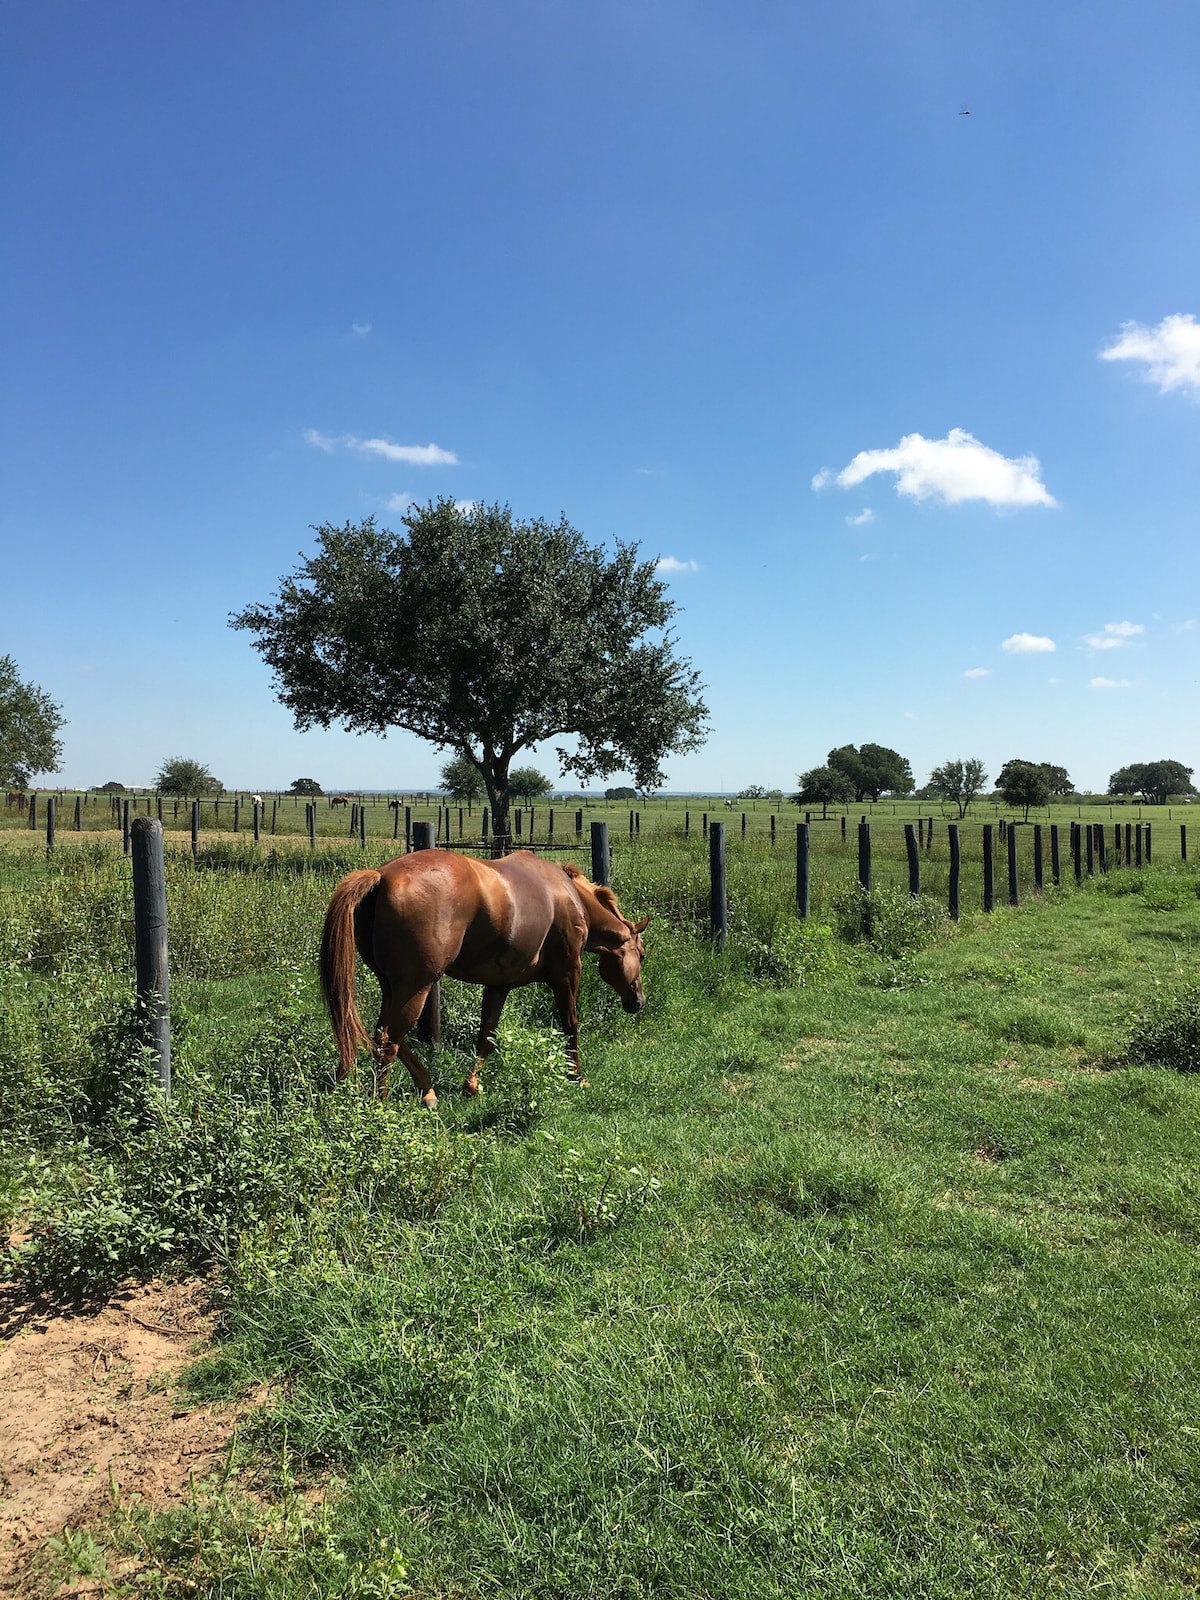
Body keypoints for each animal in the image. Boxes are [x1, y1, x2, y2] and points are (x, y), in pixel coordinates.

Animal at [320, 857, 649, 1107]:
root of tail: (382, 876)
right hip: (416, 988)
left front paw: (472, 1085)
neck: (570, 897)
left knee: (382, 1036)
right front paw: (577, 1077)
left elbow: (487, 1035)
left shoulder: (498, 986)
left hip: (393, 988)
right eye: (642, 955)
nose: (638, 1002)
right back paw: (382, 1102)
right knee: (388, 1041)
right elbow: (570, 1025)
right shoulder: (568, 973)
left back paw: (426, 1090)